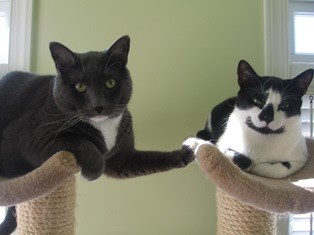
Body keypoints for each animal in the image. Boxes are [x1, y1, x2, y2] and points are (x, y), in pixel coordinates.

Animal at [0, 35, 194, 234]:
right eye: (80, 86)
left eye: (110, 82)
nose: (98, 105)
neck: (104, 125)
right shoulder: (31, 138)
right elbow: (80, 142)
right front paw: (93, 171)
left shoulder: (122, 158)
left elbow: (150, 158)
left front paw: (185, 153)